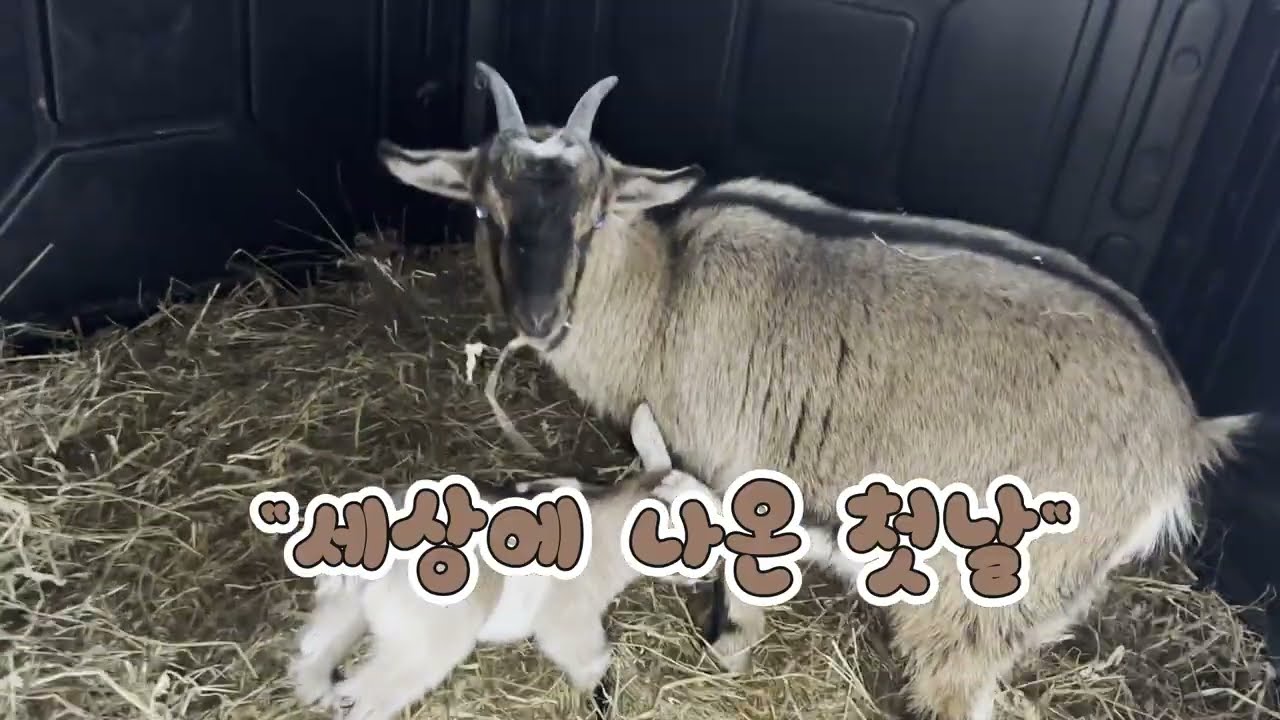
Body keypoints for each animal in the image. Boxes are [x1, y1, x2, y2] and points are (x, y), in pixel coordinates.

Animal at [287, 402, 716, 720]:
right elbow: (589, 661)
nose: (713, 576)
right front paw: (594, 699)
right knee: (365, 695)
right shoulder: (567, 616)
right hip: (424, 641)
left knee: (313, 657)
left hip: (344, 608)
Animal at [376, 61, 1280, 720]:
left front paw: (729, 651)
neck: (666, 292)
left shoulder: (739, 466)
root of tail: (1187, 433)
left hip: (997, 585)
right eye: (486, 212)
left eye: (595, 215)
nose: (538, 314)